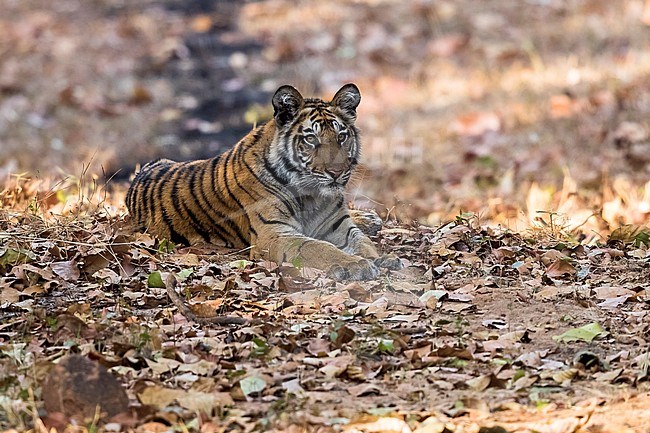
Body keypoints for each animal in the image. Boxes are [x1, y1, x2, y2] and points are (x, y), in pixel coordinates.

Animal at [125, 83, 400, 280]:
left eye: (341, 136)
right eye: (311, 139)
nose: (336, 172)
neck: (311, 196)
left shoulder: (339, 226)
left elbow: (363, 243)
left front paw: (382, 259)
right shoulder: (274, 234)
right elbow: (318, 248)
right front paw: (356, 265)